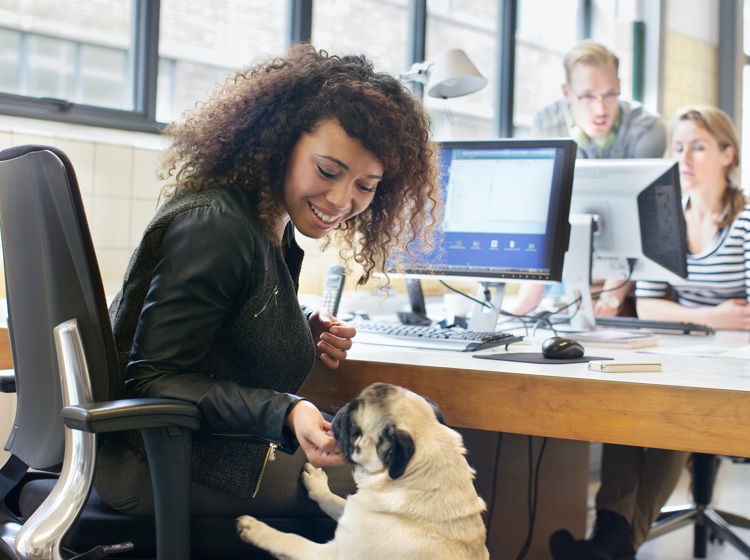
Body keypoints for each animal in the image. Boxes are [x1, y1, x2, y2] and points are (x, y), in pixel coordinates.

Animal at [238, 382, 490, 556]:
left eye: (353, 426)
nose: (341, 410)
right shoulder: (355, 514)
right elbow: (333, 501)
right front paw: (318, 485)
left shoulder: (333, 553)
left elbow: (292, 540)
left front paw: (257, 530)